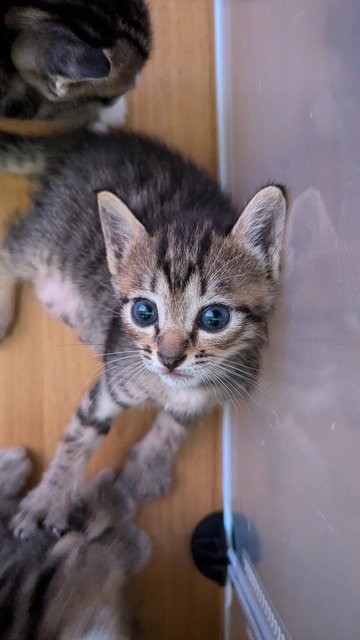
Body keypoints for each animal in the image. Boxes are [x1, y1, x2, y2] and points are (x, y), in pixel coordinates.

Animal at [0, 131, 286, 540]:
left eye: (214, 317)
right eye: (144, 312)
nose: (169, 358)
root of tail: (88, 140)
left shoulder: (217, 389)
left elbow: (179, 420)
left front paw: (147, 466)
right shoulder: (112, 376)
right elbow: (80, 435)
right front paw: (49, 498)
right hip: (47, 242)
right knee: (10, 246)